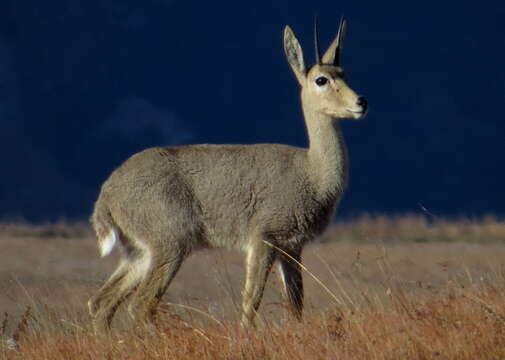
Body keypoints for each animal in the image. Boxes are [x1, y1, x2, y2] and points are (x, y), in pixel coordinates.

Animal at [88, 17, 366, 332]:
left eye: (344, 73)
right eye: (322, 79)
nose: (361, 102)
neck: (312, 173)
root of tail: (107, 194)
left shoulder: (292, 248)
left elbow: (296, 307)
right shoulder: (263, 239)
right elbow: (250, 304)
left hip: (138, 253)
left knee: (101, 302)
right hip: (170, 246)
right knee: (140, 305)